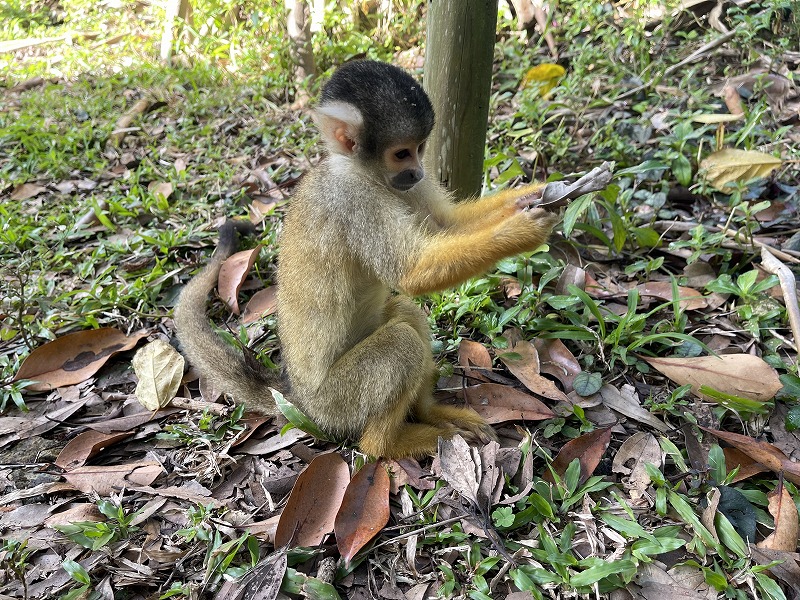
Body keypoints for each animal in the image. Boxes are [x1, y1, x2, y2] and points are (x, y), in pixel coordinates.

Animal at [177, 59, 556, 454]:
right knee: (401, 343)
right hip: (339, 401)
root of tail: (298, 399)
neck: (361, 172)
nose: (418, 171)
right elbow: (411, 271)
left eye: (421, 148)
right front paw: (521, 232)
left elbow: (446, 225)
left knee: (404, 313)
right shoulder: (354, 200)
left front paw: (533, 196)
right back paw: (389, 444)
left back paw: (429, 412)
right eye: (402, 153)